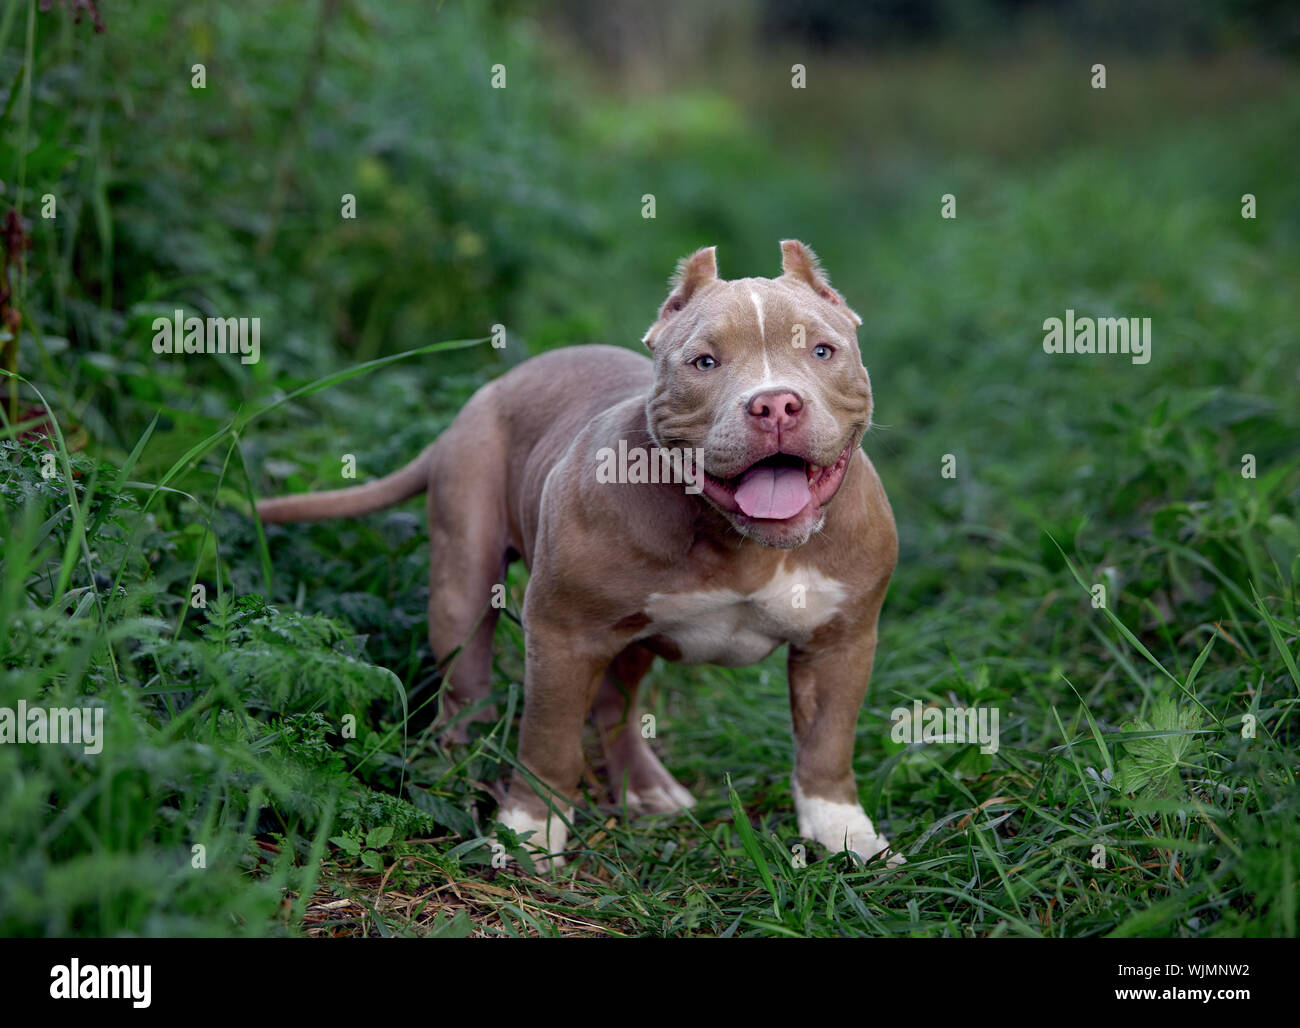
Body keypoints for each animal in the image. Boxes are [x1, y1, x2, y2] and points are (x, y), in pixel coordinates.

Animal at [257, 239, 899, 868]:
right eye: (704, 363)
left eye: (823, 351)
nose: (775, 405)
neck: (739, 542)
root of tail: (482, 398)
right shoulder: (562, 634)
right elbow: (550, 741)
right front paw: (529, 830)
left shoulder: (840, 644)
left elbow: (827, 744)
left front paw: (844, 832)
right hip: (464, 579)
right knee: (466, 691)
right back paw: (458, 773)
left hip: (630, 638)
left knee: (617, 708)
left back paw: (646, 788)